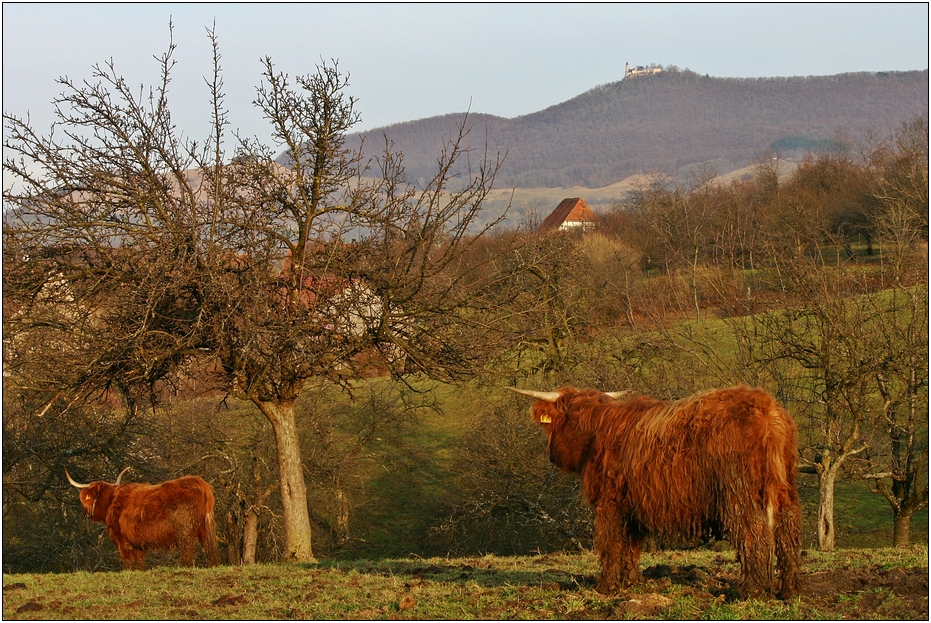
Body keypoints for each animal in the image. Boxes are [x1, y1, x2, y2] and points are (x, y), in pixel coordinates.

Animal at [510, 386, 800, 600]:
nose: (552, 455)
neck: (596, 431)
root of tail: (766, 407)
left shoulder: (609, 502)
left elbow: (610, 543)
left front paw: (606, 587)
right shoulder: (632, 505)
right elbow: (631, 545)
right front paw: (630, 581)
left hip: (739, 493)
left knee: (753, 533)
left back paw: (752, 591)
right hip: (785, 490)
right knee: (787, 531)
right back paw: (789, 590)